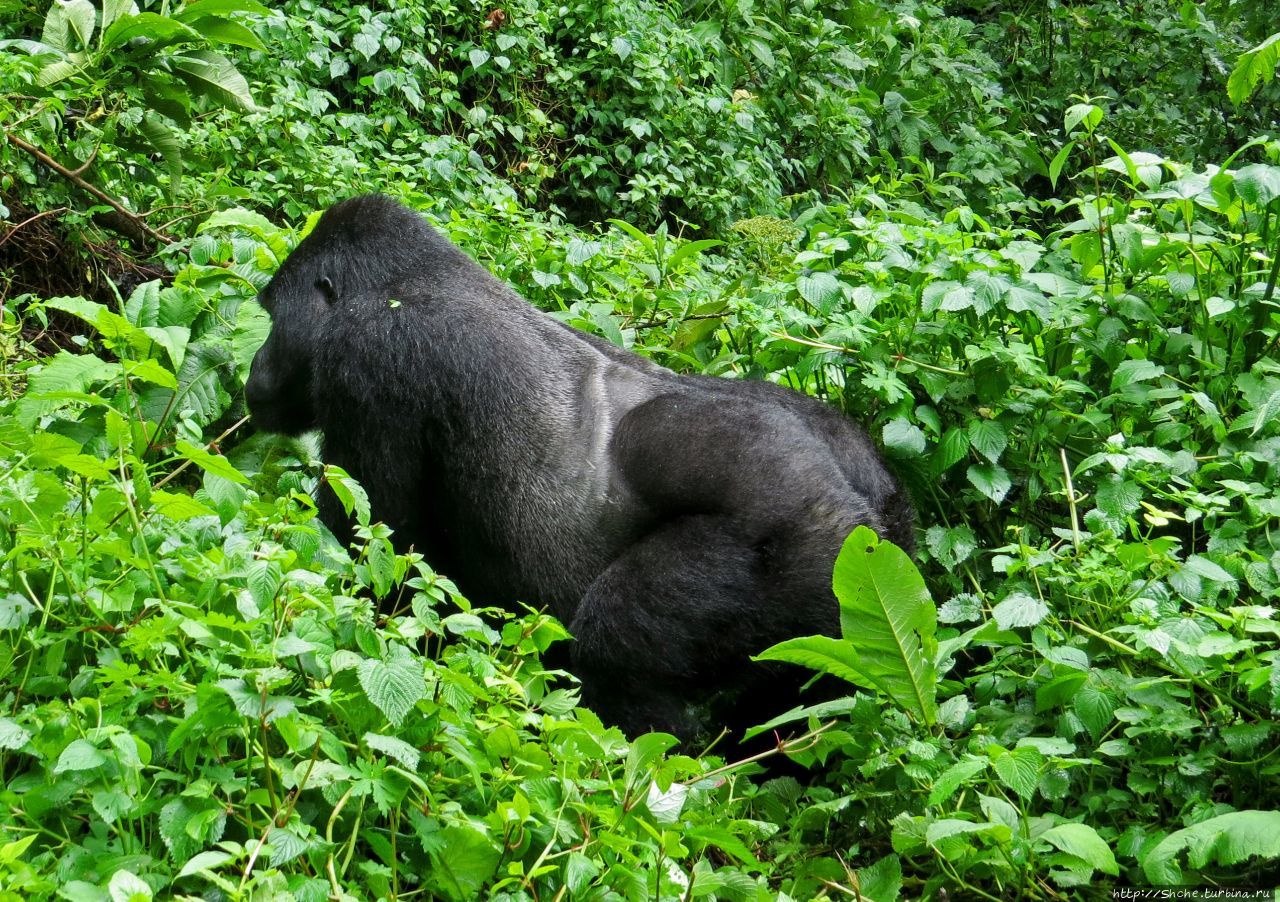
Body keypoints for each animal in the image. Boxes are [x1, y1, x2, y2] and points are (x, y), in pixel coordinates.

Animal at [244, 195, 916, 736]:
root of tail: (867, 510)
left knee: (612, 647)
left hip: (803, 544)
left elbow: (378, 550)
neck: (407, 278)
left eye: (272, 317)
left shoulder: (369, 360)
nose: (254, 369)